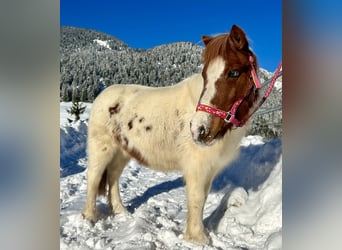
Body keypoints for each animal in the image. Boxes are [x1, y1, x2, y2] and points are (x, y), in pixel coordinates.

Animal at [82, 24, 260, 243]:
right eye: (205, 75)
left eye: (234, 72)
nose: (199, 129)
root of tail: (104, 95)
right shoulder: (197, 165)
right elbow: (196, 198)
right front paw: (198, 238)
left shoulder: (209, 167)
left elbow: (202, 198)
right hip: (102, 147)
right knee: (94, 176)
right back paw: (89, 217)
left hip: (122, 151)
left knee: (113, 176)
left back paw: (120, 211)